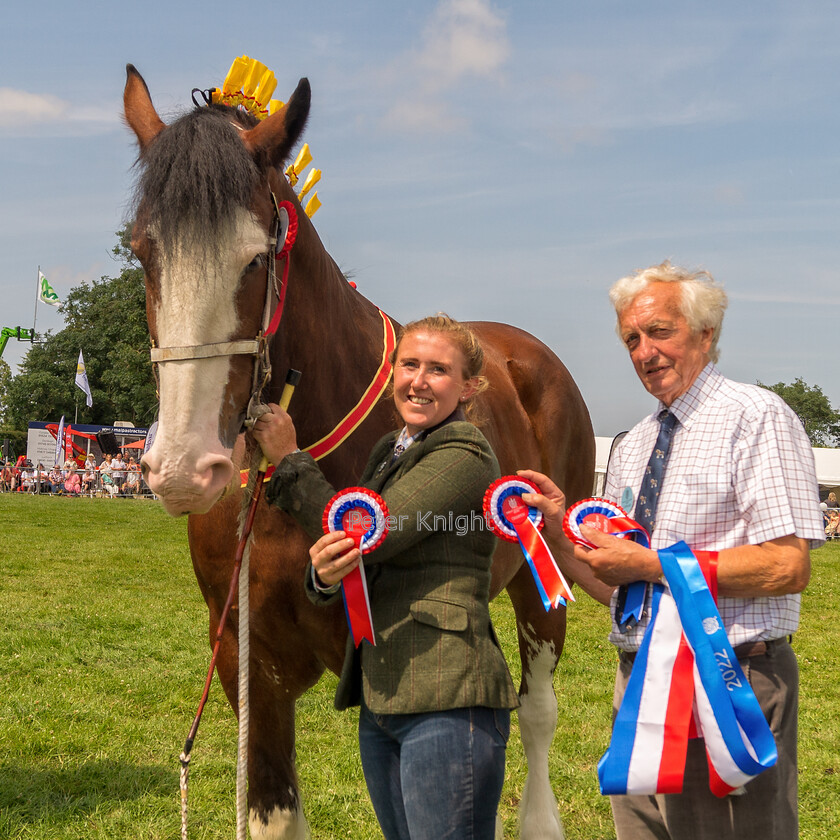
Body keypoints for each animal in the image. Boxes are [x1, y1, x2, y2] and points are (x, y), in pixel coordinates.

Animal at [124, 65, 592, 840]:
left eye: (257, 257)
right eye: (143, 251)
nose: (185, 469)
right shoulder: (250, 668)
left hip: (542, 574)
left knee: (537, 713)